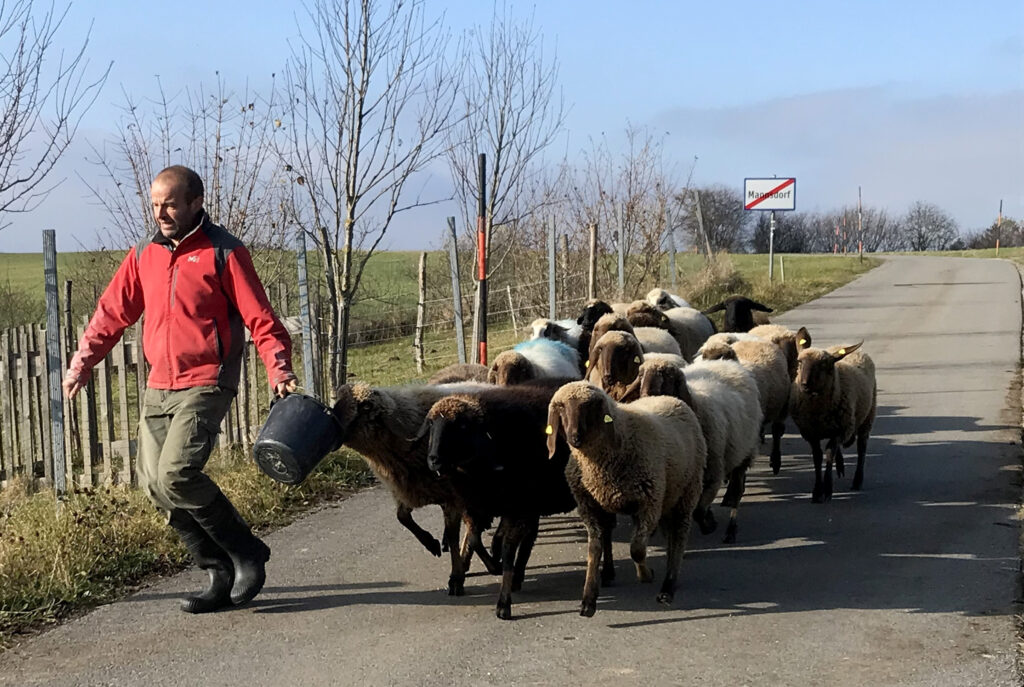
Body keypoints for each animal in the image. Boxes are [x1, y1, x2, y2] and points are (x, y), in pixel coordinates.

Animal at [548, 380, 708, 618]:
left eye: (589, 407)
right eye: (560, 408)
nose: (574, 437)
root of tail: (671, 398)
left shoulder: (649, 503)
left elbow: (637, 549)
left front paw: (646, 574)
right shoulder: (590, 507)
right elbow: (594, 549)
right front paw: (588, 601)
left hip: (687, 492)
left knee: (678, 536)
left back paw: (668, 587)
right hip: (666, 496)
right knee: (669, 534)